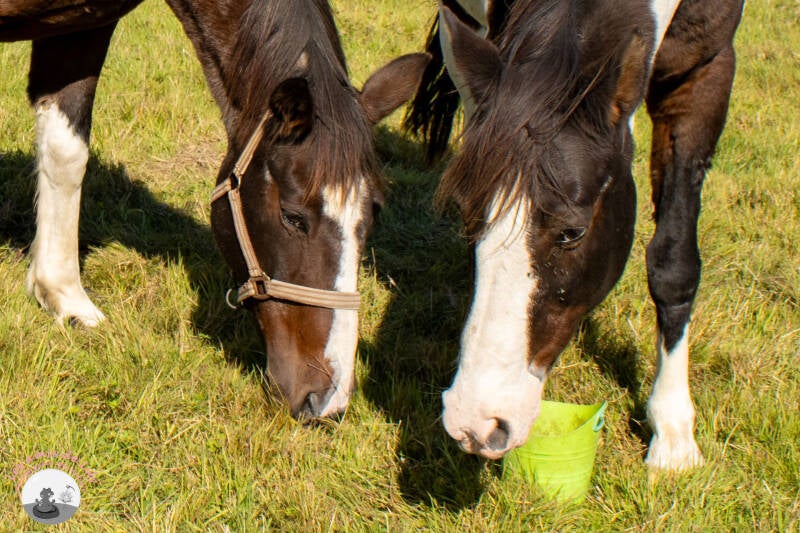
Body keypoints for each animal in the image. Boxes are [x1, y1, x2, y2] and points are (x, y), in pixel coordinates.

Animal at [1, 0, 429, 419]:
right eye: (292, 216)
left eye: (373, 215)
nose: (328, 400)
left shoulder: (83, 24)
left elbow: (66, 152)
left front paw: (64, 297)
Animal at [405, 0, 743, 469]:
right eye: (467, 218)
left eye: (572, 233)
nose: (476, 423)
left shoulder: (707, 67)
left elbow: (674, 265)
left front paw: (673, 434)